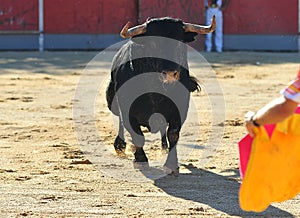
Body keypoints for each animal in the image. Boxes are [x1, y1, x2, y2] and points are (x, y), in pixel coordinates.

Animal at [105, 16, 216, 175]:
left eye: (179, 41)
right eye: (153, 43)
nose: (169, 74)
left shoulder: (180, 110)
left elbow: (173, 134)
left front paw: (172, 164)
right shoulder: (127, 111)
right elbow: (137, 136)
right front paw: (140, 160)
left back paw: (163, 146)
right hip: (112, 103)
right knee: (120, 121)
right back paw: (120, 145)